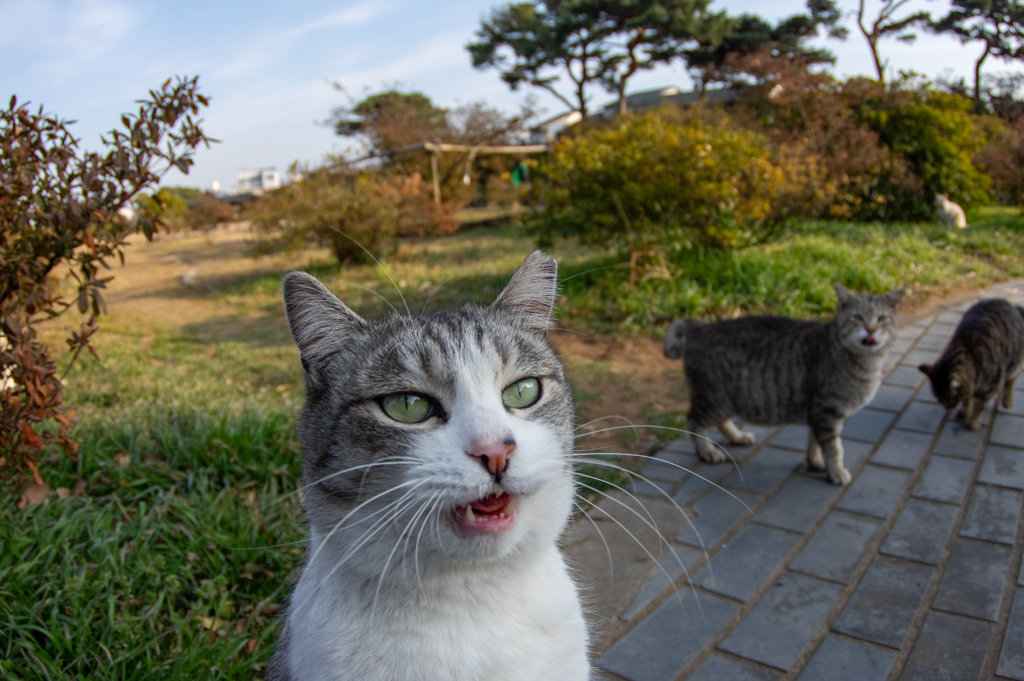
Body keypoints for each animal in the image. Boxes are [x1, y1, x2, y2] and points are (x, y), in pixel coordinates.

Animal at [667, 284, 901, 485]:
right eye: (858, 318)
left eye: (881, 318)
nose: (870, 330)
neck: (868, 363)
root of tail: (699, 327)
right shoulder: (827, 411)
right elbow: (834, 449)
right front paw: (836, 472)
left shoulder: (818, 412)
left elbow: (815, 443)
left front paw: (816, 463)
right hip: (714, 400)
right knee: (694, 421)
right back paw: (707, 451)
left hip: (728, 400)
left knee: (721, 422)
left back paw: (738, 437)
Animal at [921, 299, 1024, 428]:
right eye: (939, 399)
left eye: (947, 399)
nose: (947, 407)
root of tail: (1012, 306)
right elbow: (968, 398)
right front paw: (965, 409)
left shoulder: (989, 386)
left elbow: (978, 405)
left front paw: (973, 419)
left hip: (1014, 362)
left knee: (1011, 380)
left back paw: (1007, 400)